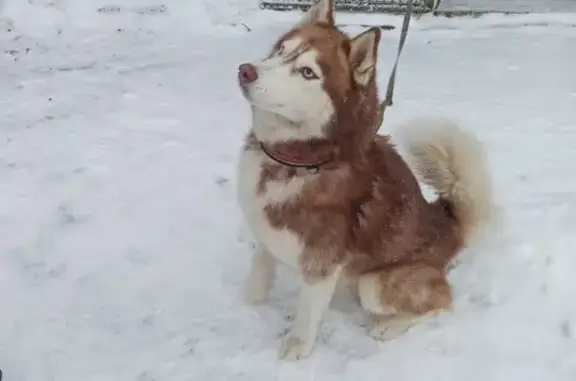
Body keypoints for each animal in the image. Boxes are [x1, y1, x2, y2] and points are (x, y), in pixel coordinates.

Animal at [236, 0, 492, 360]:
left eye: (307, 72)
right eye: (281, 50)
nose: (246, 70)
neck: (305, 159)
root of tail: (447, 226)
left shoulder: (322, 262)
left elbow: (307, 313)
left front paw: (297, 346)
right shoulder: (266, 232)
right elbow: (259, 273)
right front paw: (247, 304)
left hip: (374, 284)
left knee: (443, 300)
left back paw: (389, 325)